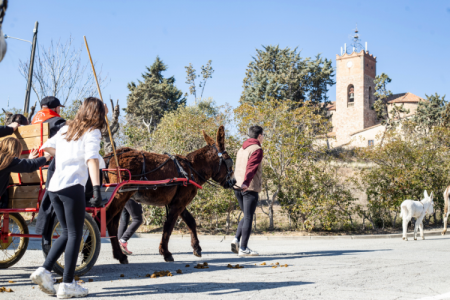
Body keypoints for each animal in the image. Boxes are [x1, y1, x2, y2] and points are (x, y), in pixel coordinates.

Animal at [102, 124, 236, 262]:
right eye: (229, 161)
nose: (234, 181)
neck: (191, 169)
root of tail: (111, 155)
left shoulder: (178, 203)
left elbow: (191, 221)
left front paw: (196, 248)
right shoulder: (178, 204)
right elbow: (169, 226)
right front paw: (166, 252)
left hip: (120, 198)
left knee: (112, 223)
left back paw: (119, 255)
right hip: (120, 196)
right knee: (107, 219)